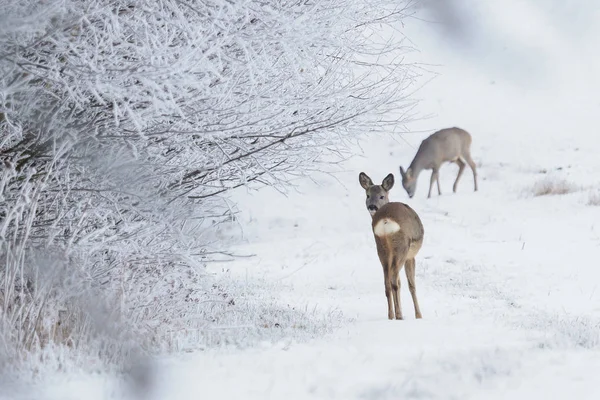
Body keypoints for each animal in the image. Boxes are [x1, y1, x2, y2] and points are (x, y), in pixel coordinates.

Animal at [358, 170, 424, 320]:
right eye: (368, 195)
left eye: (381, 196)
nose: (372, 206)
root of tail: (385, 220)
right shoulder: (411, 256)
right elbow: (411, 285)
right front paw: (419, 315)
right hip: (401, 247)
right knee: (394, 281)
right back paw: (399, 315)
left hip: (381, 247)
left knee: (387, 282)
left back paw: (391, 315)